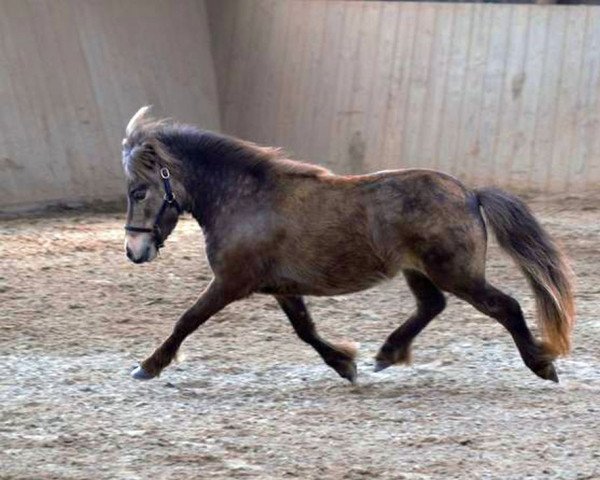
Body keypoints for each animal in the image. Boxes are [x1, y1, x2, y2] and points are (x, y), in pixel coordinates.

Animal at [120, 107, 572, 384]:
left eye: (139, 191)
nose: (133, 252)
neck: (246, 200)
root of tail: (471, 194)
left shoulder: (231, 283)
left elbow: (187, 320)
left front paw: (147, 367)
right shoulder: (280, 287)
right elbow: (305, 329)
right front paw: (344, 364)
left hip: (457, 273)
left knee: (505, 306)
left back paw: (542, 365)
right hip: (419, 270)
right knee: (432, 305)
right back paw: (387, 353)